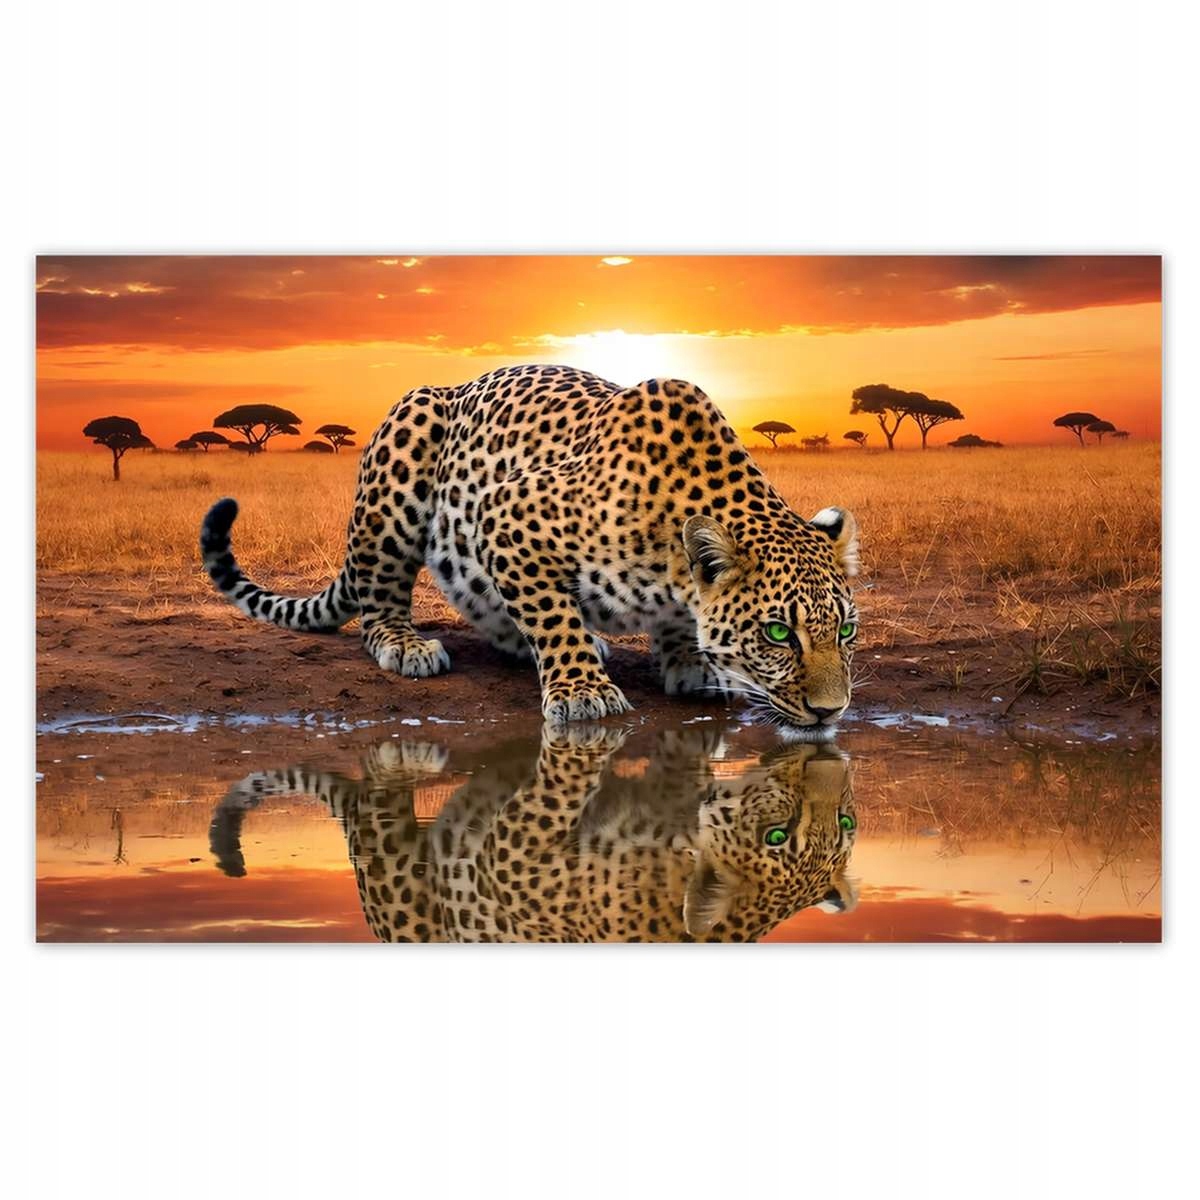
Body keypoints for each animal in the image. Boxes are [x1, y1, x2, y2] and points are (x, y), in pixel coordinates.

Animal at [200, 364, 860, 736]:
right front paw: (584, 693)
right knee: (379, 597)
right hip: (405, 458)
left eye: (846, 631)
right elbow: (553, 617)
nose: (832, 713)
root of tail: (457, 385)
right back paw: (408, 645)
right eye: (779, 633)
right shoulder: (505, 515)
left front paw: (691, 664)